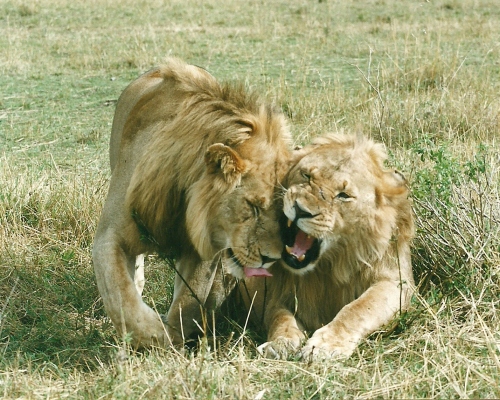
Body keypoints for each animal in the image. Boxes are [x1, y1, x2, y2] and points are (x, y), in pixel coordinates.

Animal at [92, 57, 292, 348]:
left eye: (285, 213)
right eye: (253, 206)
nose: (271, 259)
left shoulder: (204, 248)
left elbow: (189, 300)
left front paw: (176, 336)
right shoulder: (110, 234)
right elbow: (121, 299)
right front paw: (156, 336)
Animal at [238, 132, 414, 360]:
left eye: (343, 195)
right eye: (306, 176)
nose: (301, 210)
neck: (327, 268)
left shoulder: (396, 282)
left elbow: (358, 309)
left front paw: (326, 346)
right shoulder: (269, 290)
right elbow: (280, 316)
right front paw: (280, 343)